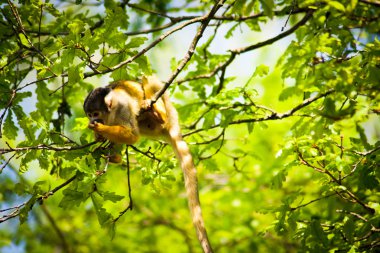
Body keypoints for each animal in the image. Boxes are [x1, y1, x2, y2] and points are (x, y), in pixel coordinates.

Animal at [83, 76, 212, 253]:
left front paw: (99, 128)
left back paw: (158, 112)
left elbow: (132, 135)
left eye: (95, 114)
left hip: (170, 112)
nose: (92, 120)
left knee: (150, 80)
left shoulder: (123, 108)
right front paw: (98, 136)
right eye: (89, 115)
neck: (111, 113)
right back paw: (116, 157)